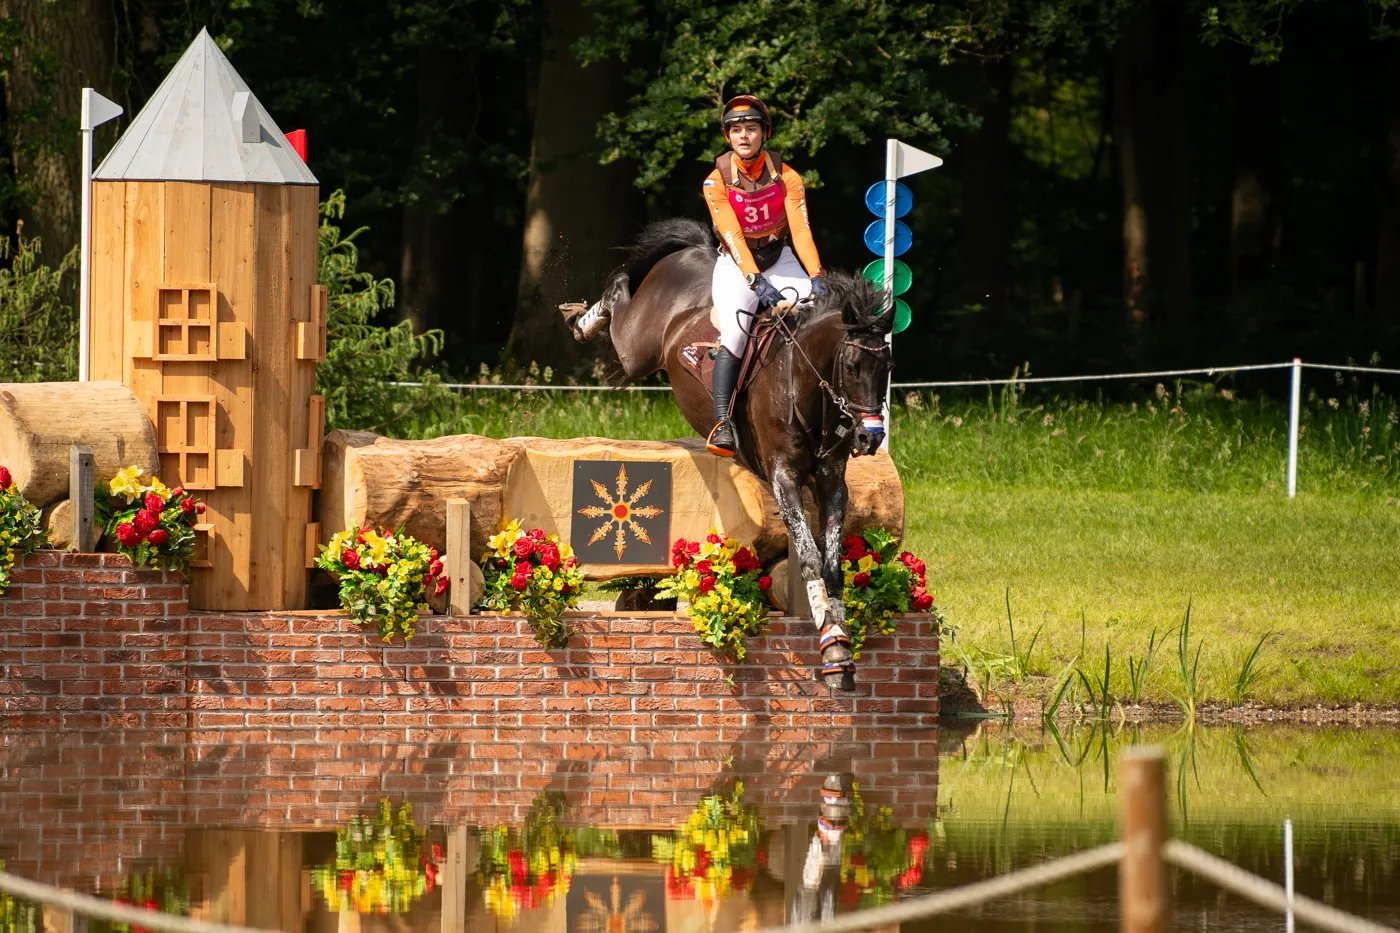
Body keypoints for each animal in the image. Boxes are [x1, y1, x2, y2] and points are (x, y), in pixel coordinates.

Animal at [568, 215, 896, 683]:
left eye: (888, 367)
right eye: (851, 367)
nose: (870, 438)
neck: (803, 385)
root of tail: (702, 251)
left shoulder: (833, 483)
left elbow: (832, 564)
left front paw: (840, 645)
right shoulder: (783, 478)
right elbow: (810, 558)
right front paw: (832, 645)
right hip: (639, 350)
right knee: (619, 292)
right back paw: (582, 320)